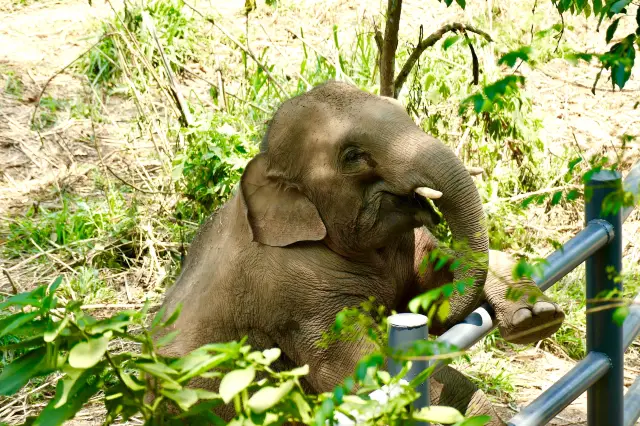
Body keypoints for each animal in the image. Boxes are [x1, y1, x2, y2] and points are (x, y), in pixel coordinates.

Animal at [154, 81, 564, 424]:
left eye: (404, 112)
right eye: (353, 156)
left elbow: (431, 284)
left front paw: (537, 317)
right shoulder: (295, 296)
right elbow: (363, 373)